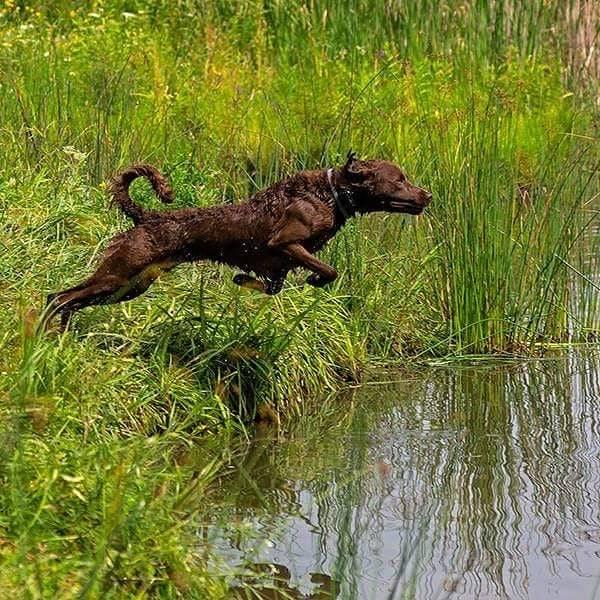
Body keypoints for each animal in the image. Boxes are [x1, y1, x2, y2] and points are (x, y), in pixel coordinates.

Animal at [45, 152, 432, 326]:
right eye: (399, 180)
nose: (427, 194)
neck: (331, 193)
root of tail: (148, 216)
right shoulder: (285, 244)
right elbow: (328, 270)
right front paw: (314, 279)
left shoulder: (277, 270)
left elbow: (269, 285)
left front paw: (242, 279)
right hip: (119, 274)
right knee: (59, 297)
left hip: (132, 285)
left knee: (69, 299)